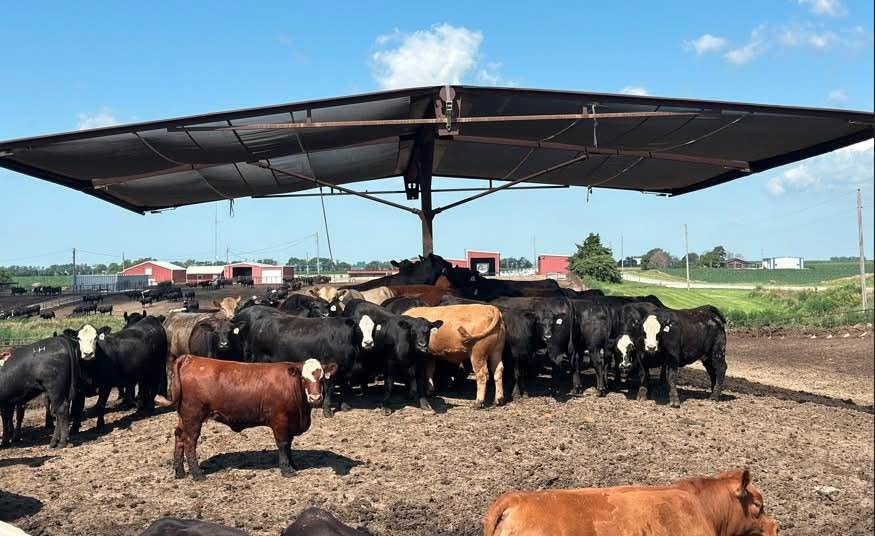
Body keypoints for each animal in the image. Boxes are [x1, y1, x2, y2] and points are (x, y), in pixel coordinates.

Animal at [162, 355, 336, 480]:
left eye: (322, 378)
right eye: (303, 379)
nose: (315, 398)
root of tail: (190, 358)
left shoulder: (290, 423)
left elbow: (289, 445)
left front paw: (293, 465)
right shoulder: (280, 421)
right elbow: (283, 444)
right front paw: (287, 469)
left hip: (184, 417)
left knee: (179, 437)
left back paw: (179, 472)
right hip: (193, 417)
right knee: (189, 442)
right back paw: (197, 474)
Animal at [232, 306, 363, 416]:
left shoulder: (344, 371)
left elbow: (343, 387)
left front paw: (345, 406)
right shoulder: (330, 368)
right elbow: (330, 389)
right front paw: (327, 411)